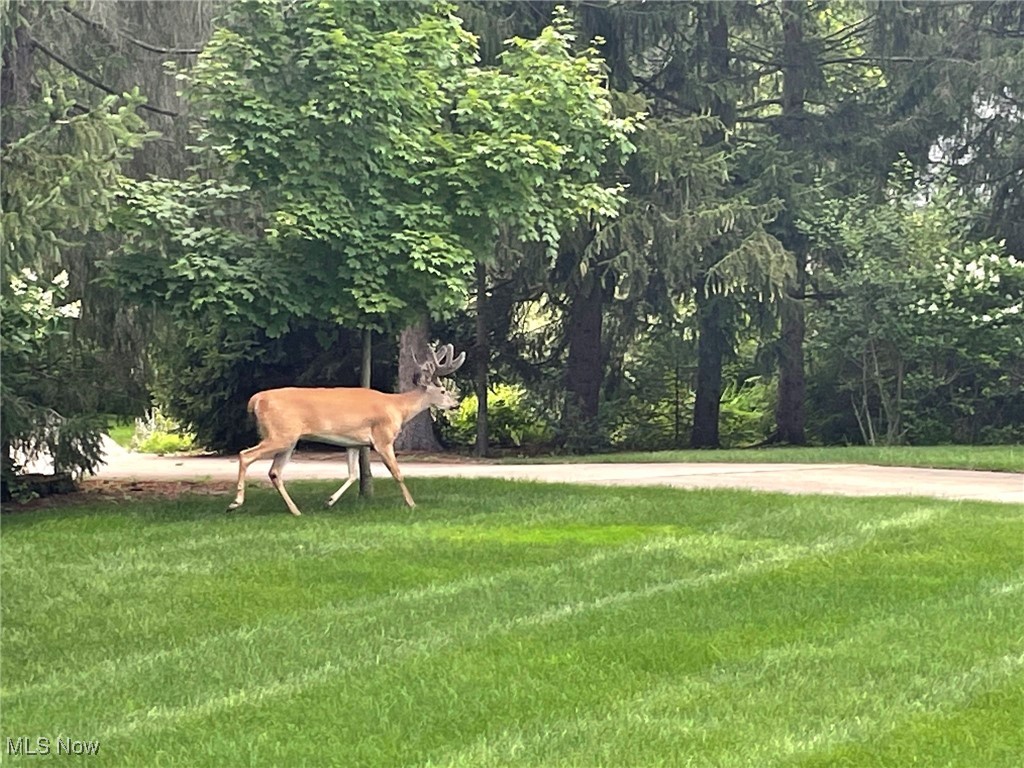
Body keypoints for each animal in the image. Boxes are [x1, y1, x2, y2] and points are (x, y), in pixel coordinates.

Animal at [228, 344, 464, 518]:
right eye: (443, 391)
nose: (456, 404)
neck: (398, 408)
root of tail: (255, 400)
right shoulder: (383, 437)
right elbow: (397, 473)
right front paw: (412, 504)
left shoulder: (353, 443)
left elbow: (353, 474)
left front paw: (329, 501)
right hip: (280, 434)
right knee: (245, 454)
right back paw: (236, 502)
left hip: (288, 439)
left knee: (275, 472)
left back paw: (296, 511)